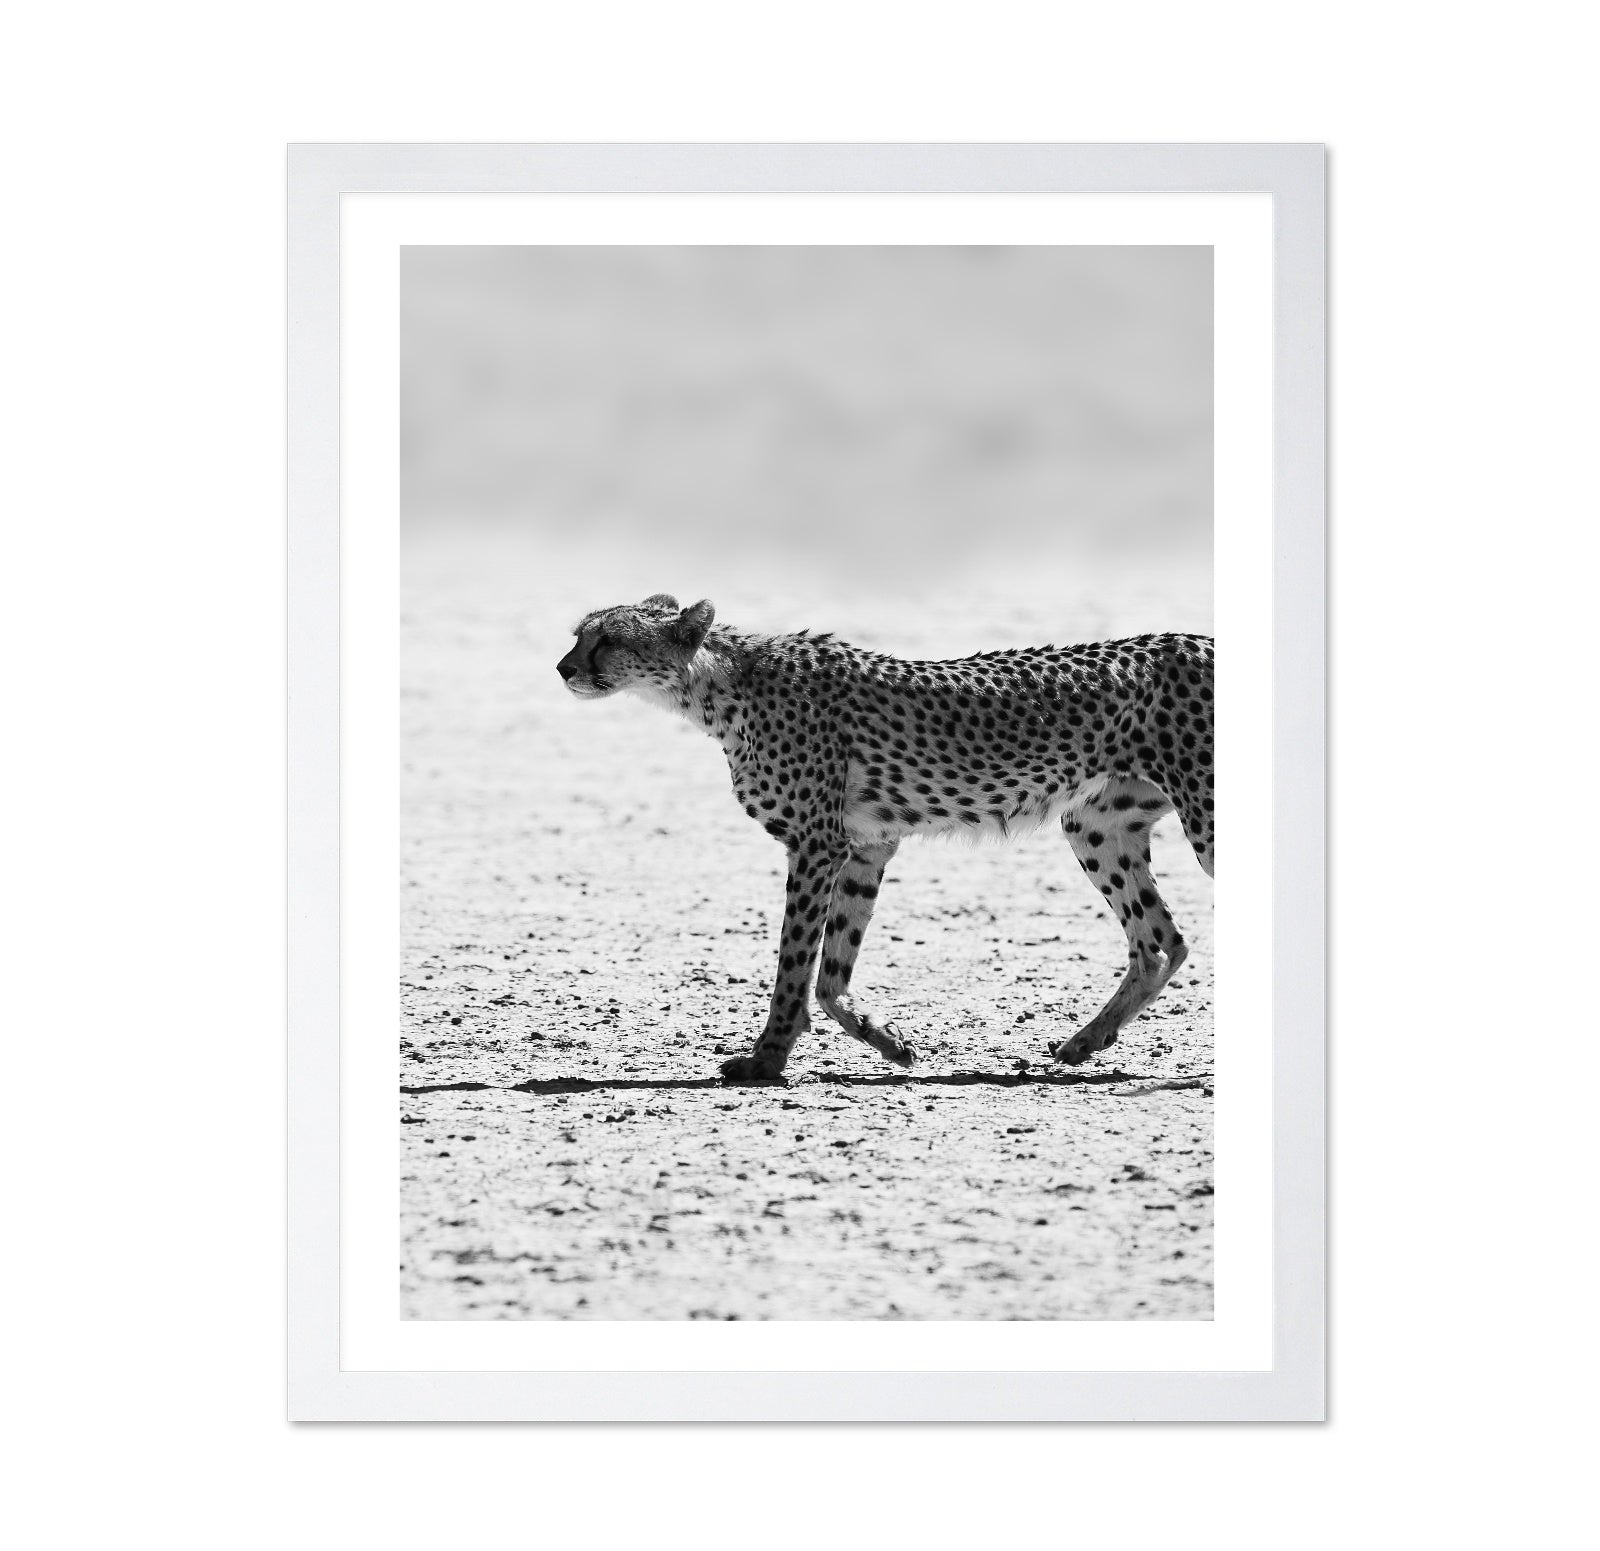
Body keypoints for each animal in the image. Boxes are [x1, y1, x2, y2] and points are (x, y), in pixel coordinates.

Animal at [556, 594, 1214, 1084]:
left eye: (607, 639)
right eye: (578, 635)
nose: (564, 668)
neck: (719, 686)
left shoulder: (817, 843)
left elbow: (794, 962)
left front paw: (767, 1058)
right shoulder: (864, 845)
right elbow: (831, 971)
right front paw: (889, 1042)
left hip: (1203, 818)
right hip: (1096, 825)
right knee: (1161, 942)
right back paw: (1086, 1041)